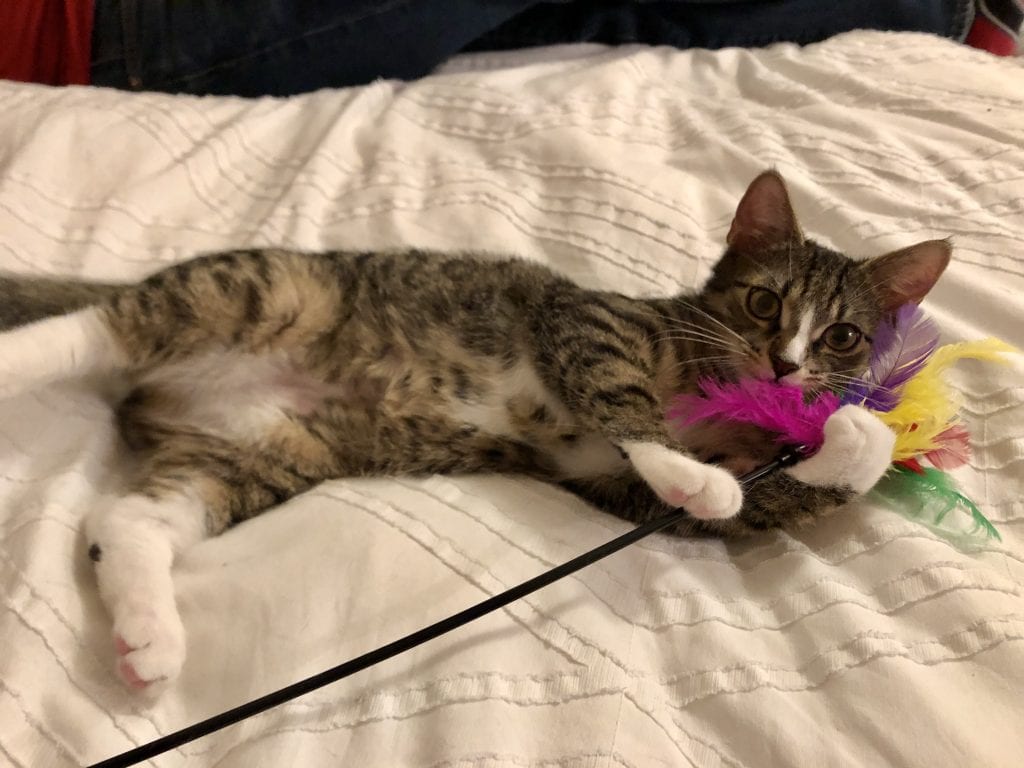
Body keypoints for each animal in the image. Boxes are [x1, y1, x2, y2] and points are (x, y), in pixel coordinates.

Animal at [0, 173, 946, 692]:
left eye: (842, 337)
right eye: (763, 301)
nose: (785, 368)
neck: (713, 387)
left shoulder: (613, 488)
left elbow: (761, 497)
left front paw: (857, 435)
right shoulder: (592, 321)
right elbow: (620, 394)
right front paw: (696, 468)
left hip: (266, 447)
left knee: (129, 519)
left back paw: (147, 640)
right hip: (262, 289)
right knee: (100, 327)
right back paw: (25, 354)